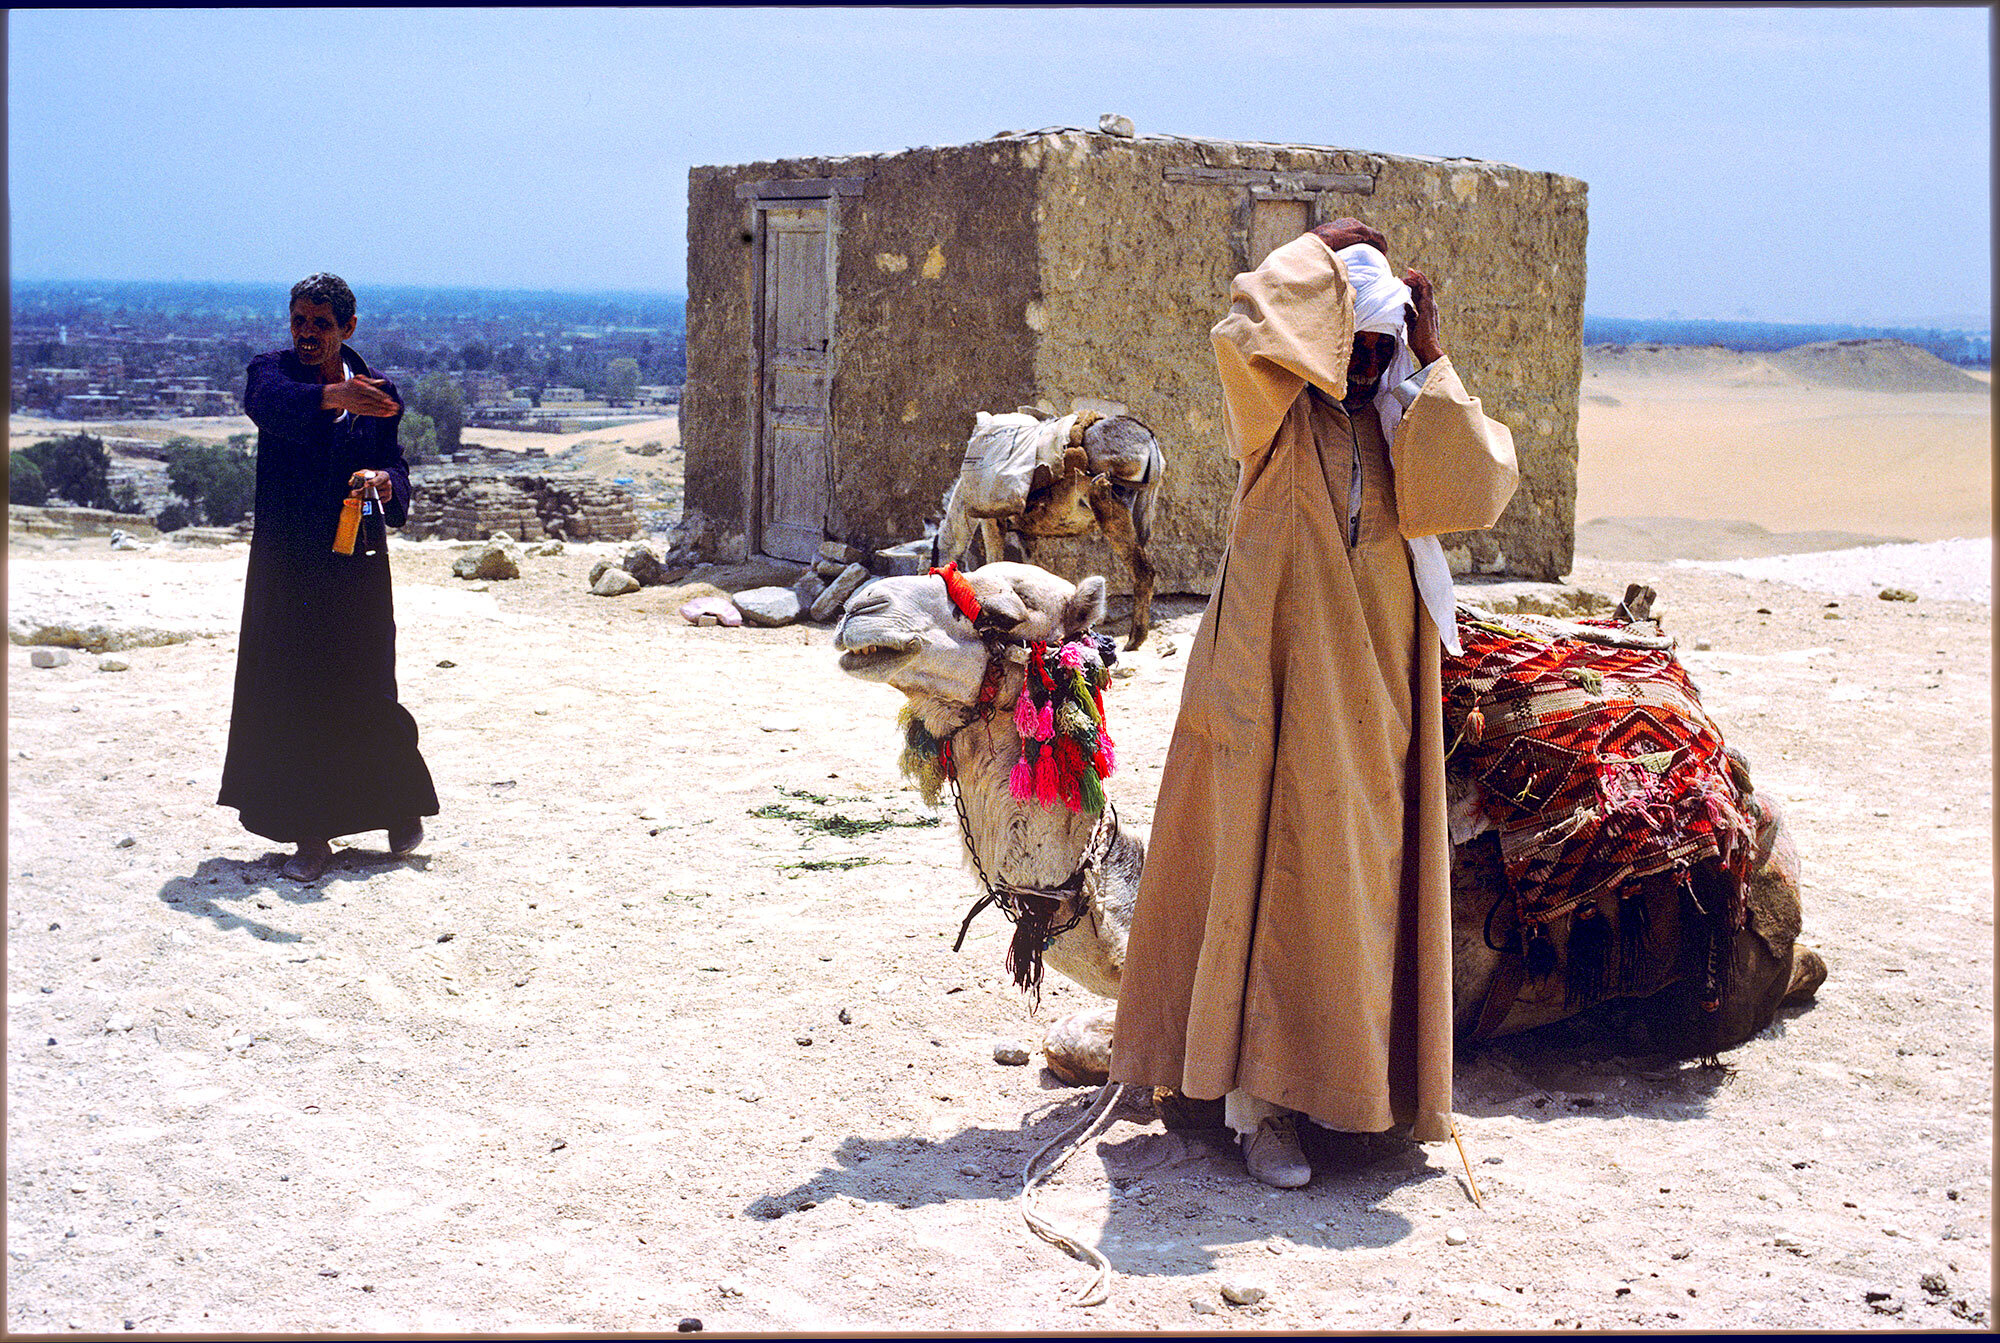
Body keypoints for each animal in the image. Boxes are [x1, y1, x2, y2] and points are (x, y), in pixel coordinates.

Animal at [932, 409, 1168, 651]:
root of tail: (1148, 439)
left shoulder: (992, 522)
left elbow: (994, 561)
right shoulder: (1026, 535)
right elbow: (1032, 568)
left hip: (1109, 508)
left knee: (1143, 571)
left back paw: (1134, 639)